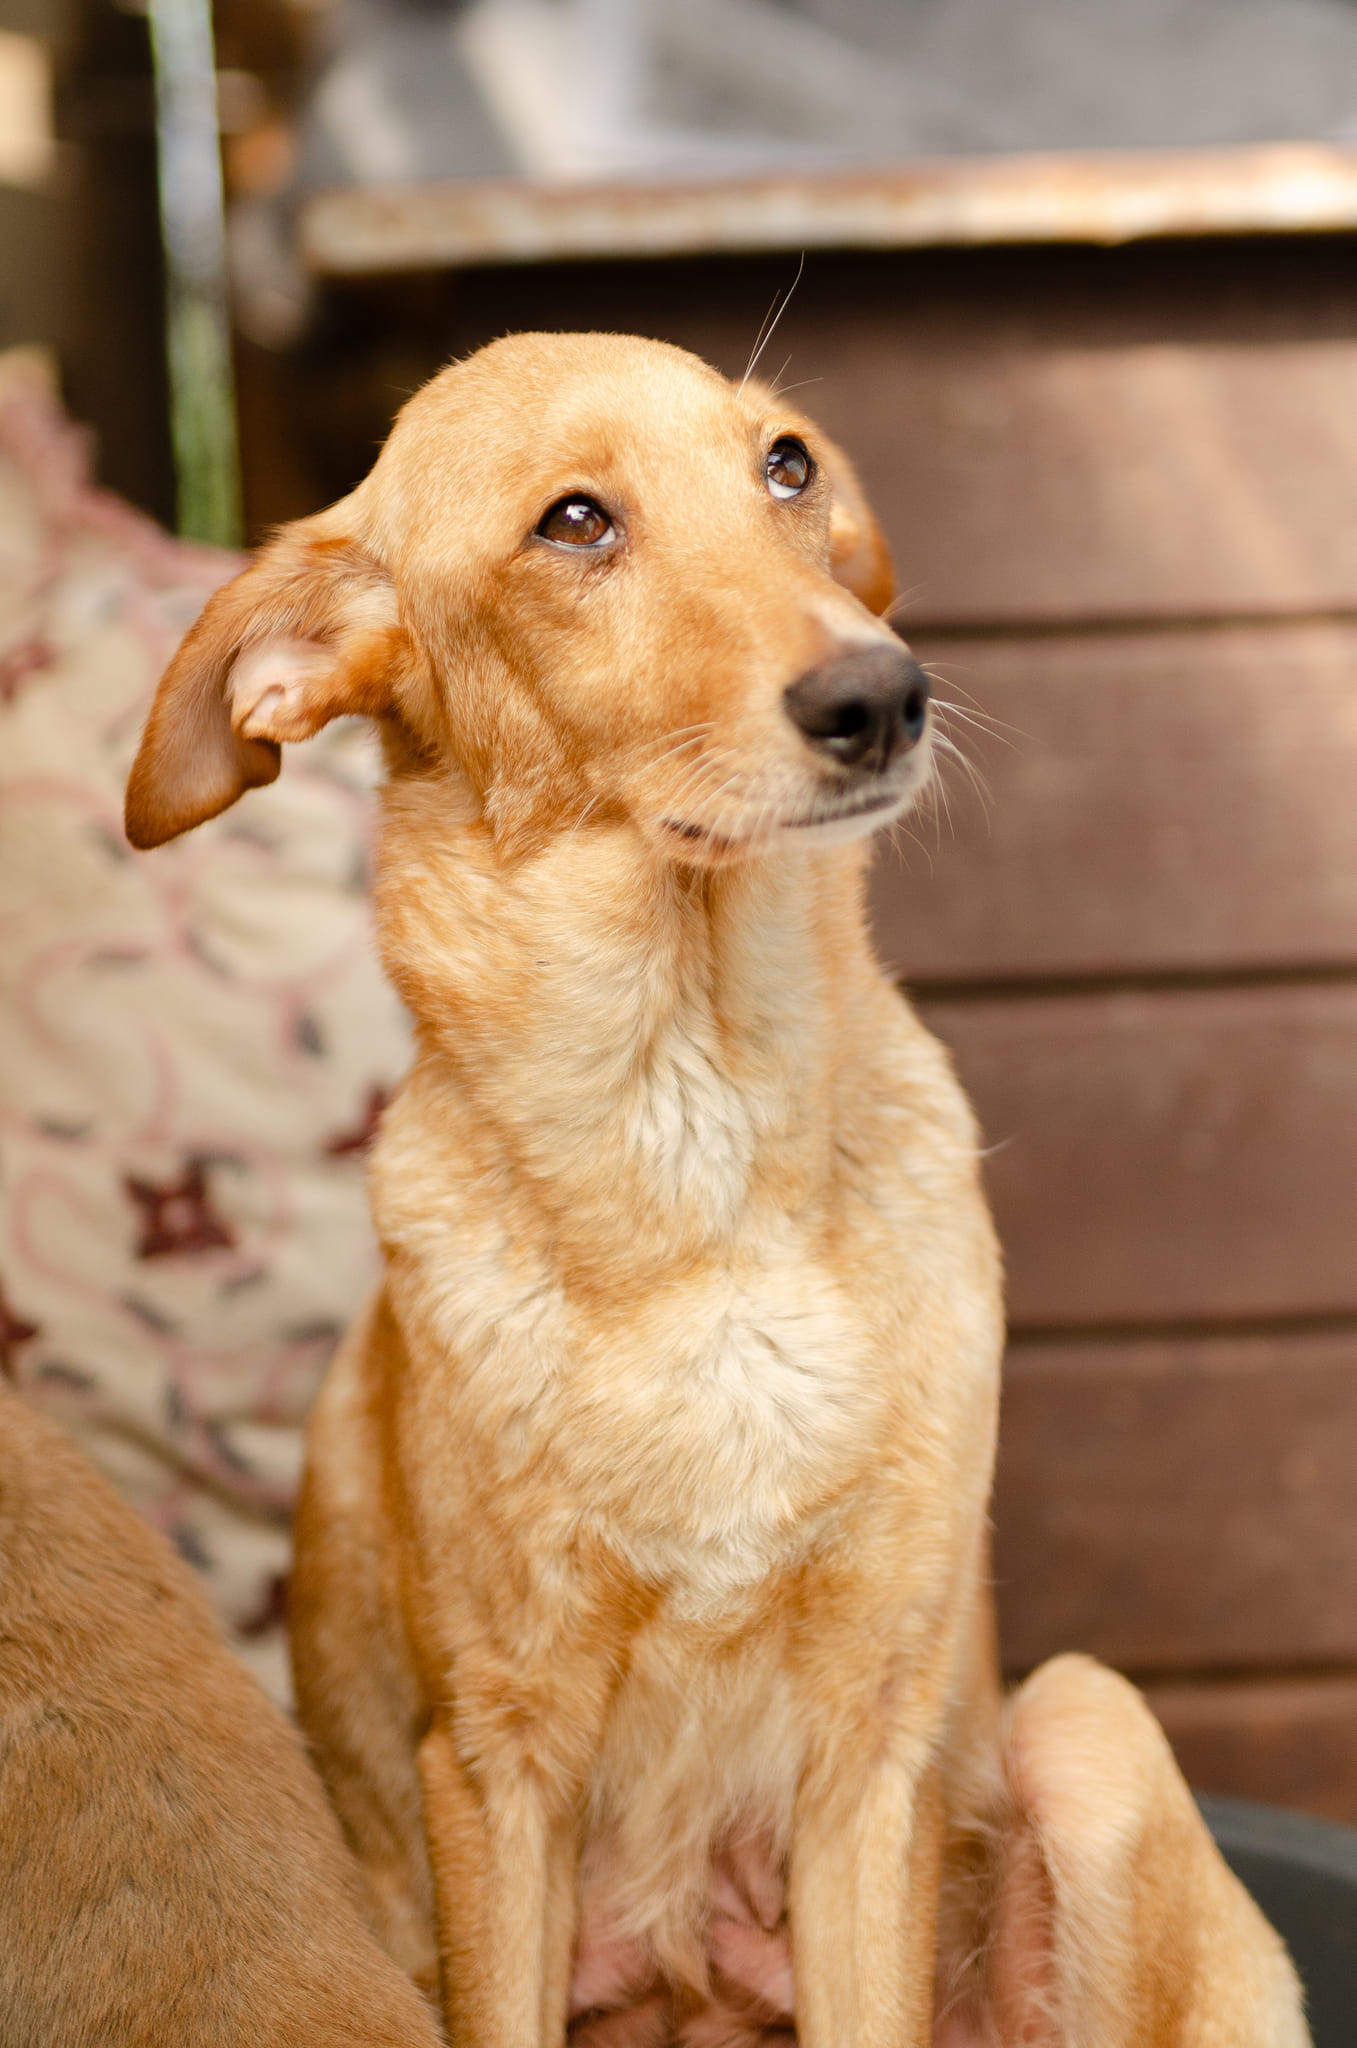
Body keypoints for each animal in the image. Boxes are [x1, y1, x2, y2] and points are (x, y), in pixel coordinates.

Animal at [125, 332, 1308, 2047]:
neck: (698, 1146)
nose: (884, 692)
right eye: (573, 521)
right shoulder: (495, 1770)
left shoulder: (868, 1761)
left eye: (786, 467)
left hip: (1086, 1724)